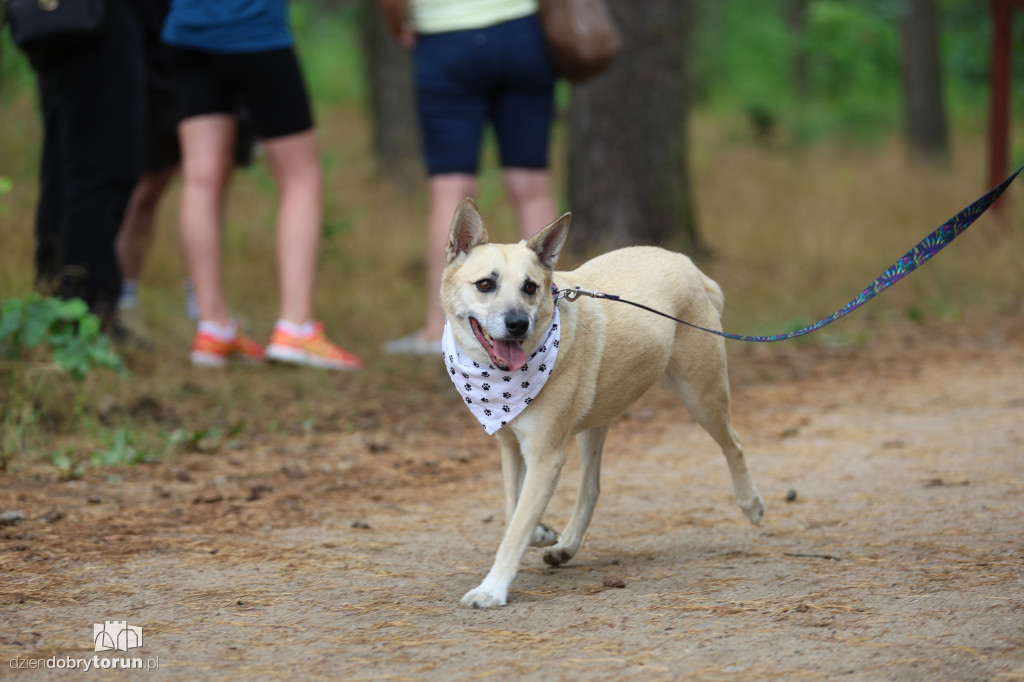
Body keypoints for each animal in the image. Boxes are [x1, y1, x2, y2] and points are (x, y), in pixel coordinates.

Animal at [440, 196, 761, 606]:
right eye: (485, 284)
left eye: (530, 287)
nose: (517, 324)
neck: (500, 381)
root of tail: (686, 263)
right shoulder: (512, 448)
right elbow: (515, 510)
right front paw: (540, 533)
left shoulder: (545, 456)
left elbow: (515, 527)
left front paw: (492, 588)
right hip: (596, 421)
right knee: (591, 489)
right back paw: (565, 546)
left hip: (701, 394)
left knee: (733, 444)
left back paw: (751, 504)